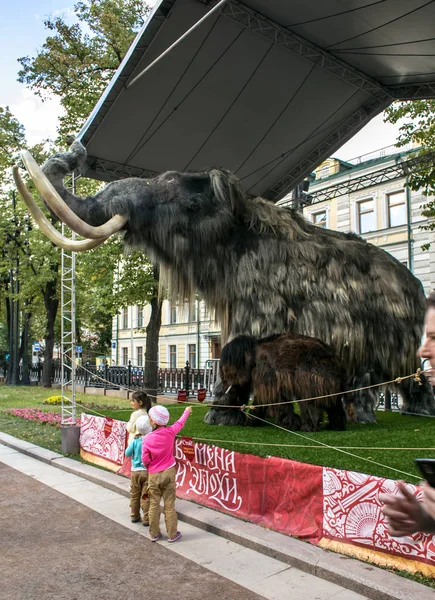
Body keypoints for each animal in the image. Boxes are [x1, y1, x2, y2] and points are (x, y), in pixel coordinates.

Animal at [220, 332, 350, 432]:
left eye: (227, 368)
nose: (223, 379)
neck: (253, 348)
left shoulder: (267, 371)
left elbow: (268, 396)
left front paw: (290, 424)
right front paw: (252, 421)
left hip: (311, 379)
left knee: (308, 402)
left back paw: (308, 427)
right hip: (332, 385)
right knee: (334, 404)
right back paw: (335, 426)